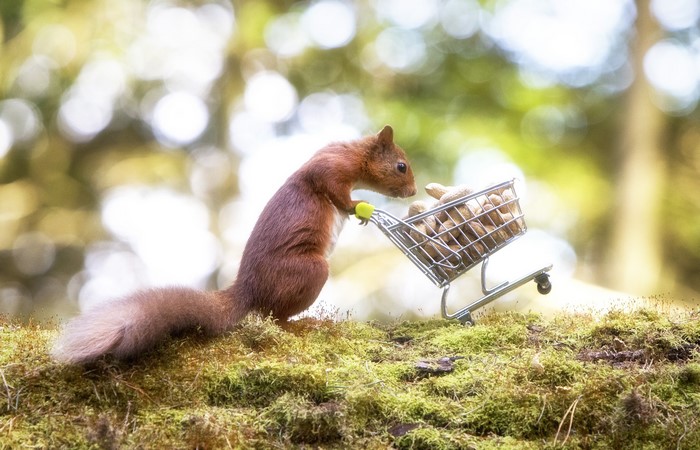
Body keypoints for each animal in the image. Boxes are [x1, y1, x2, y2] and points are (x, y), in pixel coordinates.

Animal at [52, 125, 417, 364]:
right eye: (401, 166)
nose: (413, 191)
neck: (353, 154)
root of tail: (248, 289)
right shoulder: (329, 168)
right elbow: (334, 191)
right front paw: (359, 208)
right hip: (310, 270)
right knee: (274, 317)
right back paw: (304, 324)